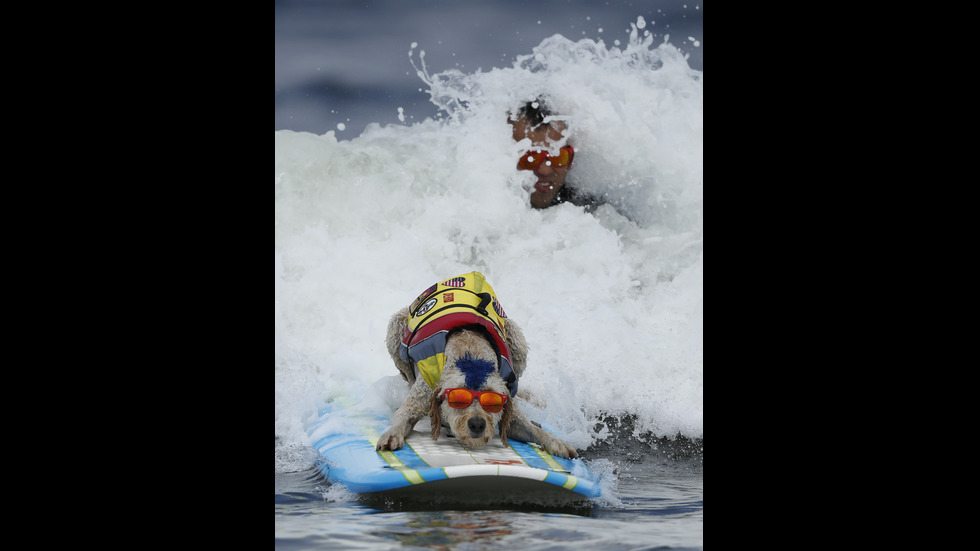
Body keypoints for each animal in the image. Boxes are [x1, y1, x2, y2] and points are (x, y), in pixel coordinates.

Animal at [374, 270, 576, 458]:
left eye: (492, 401)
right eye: (458, 399)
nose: (477, 424)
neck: (470, 354)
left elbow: (524, 426)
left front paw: (555, 441)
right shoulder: (424, 391)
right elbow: (404, 414)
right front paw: (392, 434)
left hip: (516, 340)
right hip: (397, 326)